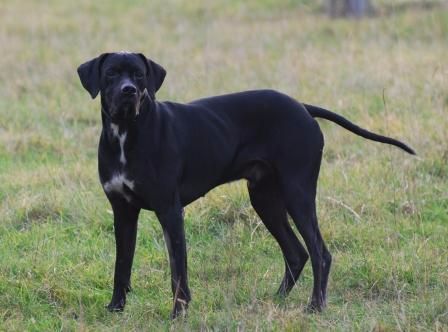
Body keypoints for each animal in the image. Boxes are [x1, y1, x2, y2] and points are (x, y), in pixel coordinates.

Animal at [76, 52, 412, 320]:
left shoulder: (169, 211)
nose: (129, 91)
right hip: (265, 199)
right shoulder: (123, 212)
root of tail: (303, 107)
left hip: (298, 192)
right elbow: (121, 265)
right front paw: (115, 308)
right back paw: (275, 300)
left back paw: (315, 306)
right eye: (111, 74)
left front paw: (178, 313)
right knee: (296, 252)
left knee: (319, 253)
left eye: (139, 74)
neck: (126, 133)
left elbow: (178, 271)